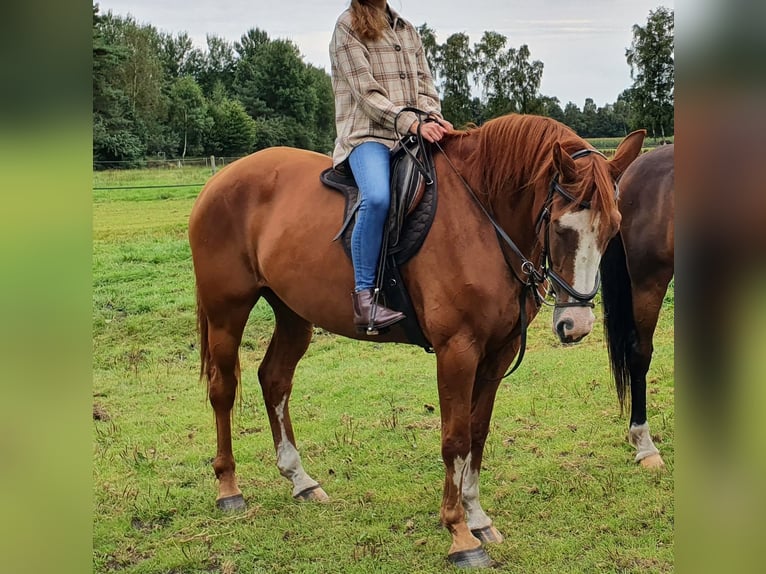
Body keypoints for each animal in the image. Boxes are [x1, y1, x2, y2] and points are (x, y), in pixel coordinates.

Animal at [189, 115, 644, 568]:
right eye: (561, 228)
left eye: (613, 229)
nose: (576, 324)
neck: (483, 221)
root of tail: (221, 180)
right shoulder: (457, 350)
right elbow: (455, 438)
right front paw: (460, 534)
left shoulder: (499, 352)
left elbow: (477, 432)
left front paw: (478, 517)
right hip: (226, 312)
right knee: (223, 389)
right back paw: (229, 488)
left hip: (293, 314)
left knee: (275, 380)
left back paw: (300, 479)